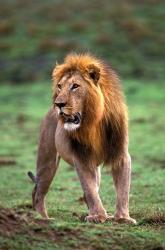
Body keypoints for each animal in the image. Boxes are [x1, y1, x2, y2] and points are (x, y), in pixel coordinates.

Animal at [27, 52, 137, 225]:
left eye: (75, 86)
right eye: (59, 86)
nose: (58, 104)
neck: (94, 122)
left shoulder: (121, 154)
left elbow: (123, 189)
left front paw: (122, 218)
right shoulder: (81, 157)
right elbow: (90, 189)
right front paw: (97, 216)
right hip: (47, 160)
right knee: (37, 192)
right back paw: (44, 218)